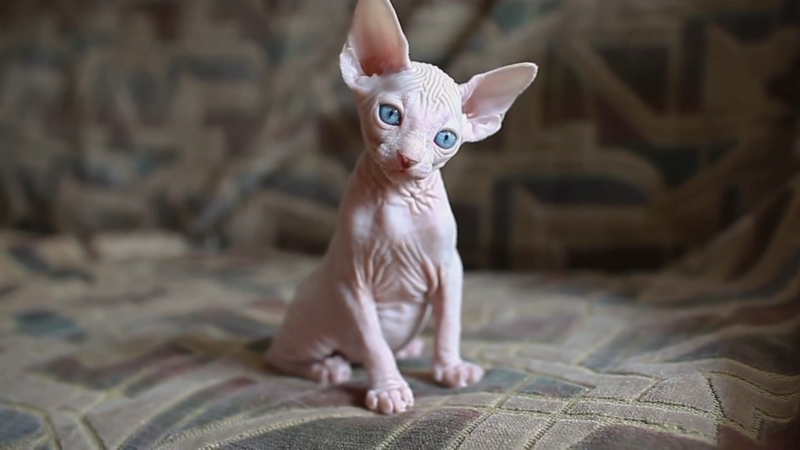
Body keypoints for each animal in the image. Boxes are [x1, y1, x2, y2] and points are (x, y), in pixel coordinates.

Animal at [268, 0, 536, 416]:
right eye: (390, 115)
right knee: (280, 356)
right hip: (311, 323)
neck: (400, 201)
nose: (408, 159)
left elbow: (448, 324)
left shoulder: (449, 267)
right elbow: (374, 343)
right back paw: (327, 368)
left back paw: (407, 347)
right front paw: (390, 388)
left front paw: (450, 367)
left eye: (445, 139)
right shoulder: (352, 282)